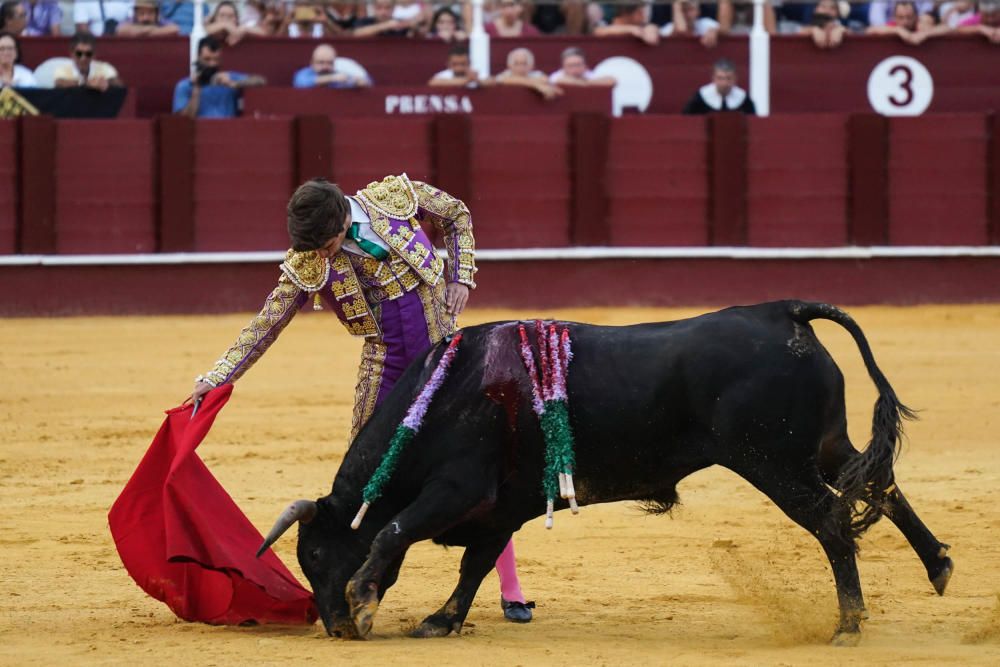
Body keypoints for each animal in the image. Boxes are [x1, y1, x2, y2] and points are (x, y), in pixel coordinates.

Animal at [256, 302, 952, 640]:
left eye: (313, 557)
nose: (335, 629)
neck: (445, 392)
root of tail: (783, 312)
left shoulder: (458, 487)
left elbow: (391, 531)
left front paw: (365, 602)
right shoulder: (501, 508)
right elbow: (474, 565)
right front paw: (442, 620)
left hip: (775, 464)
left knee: (833, 523)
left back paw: (848, 624)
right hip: (822, 445)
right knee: (880, 486)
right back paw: (938, 566)